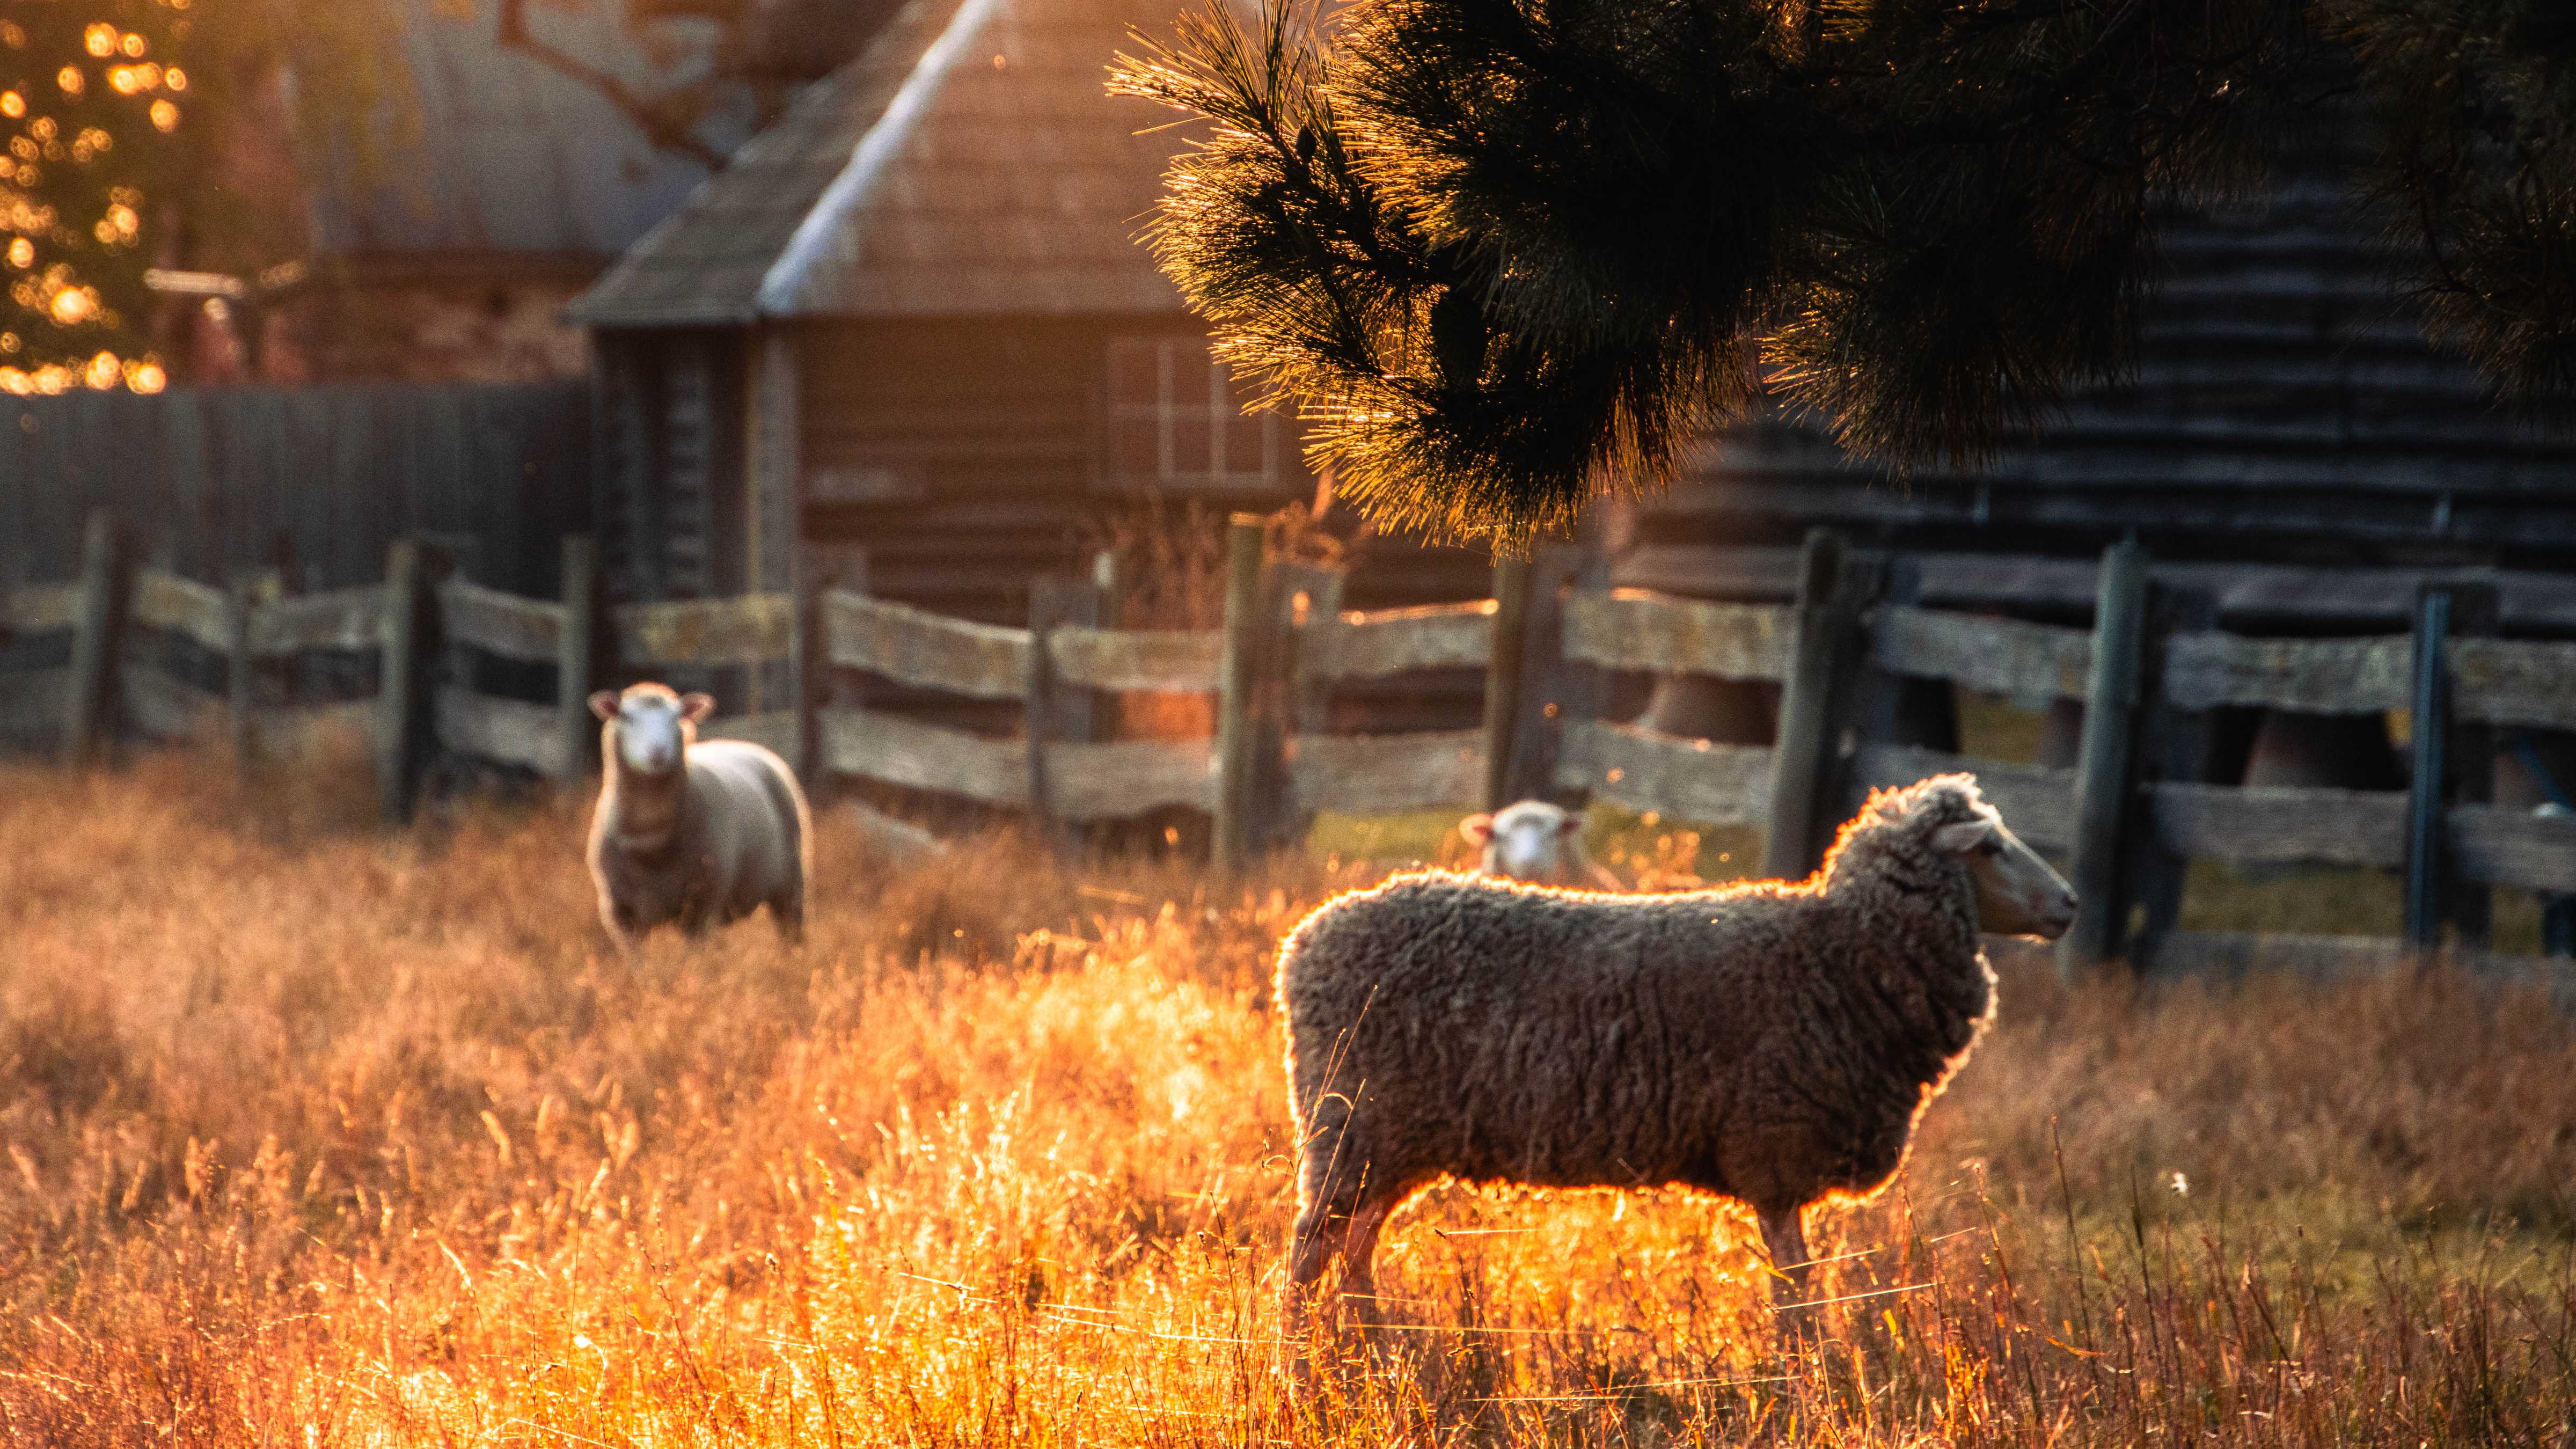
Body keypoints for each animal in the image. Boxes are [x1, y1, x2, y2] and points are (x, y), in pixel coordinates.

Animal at [586, 682, 811, 949]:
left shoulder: (701, 904)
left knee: (791, 930)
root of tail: (738, 742)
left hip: (791, 882)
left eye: (677, 717)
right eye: (626, 717)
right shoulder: (620, 912)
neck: (651, 843)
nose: (658, 752)